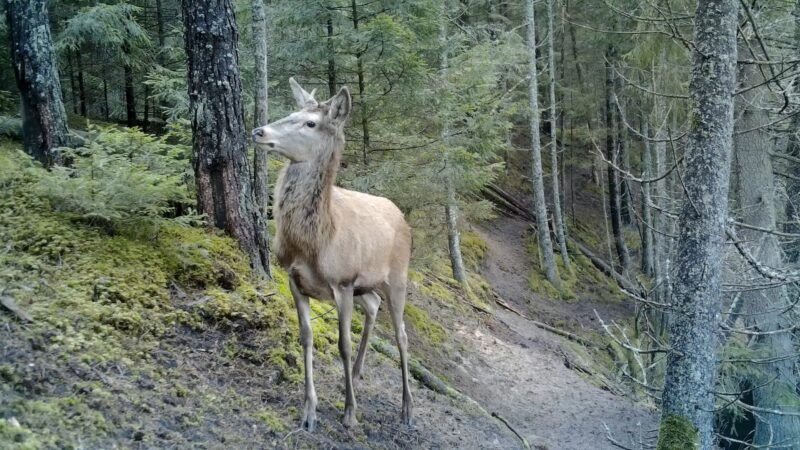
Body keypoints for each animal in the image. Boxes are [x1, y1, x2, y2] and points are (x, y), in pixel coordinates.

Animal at [250, 78, 412, 432]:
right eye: (291, 112)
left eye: (311, 123)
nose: (259, 131)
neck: (316, 243)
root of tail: (402, 216)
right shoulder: (295, 278)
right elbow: (306, 337)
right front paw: (309, 410)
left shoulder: (343, 282)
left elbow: (343, 344)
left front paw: (349, 413)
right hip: (367, 285)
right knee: (374, 305)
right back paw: (355, 377)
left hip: (398, 277)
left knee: (402, 334)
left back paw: (407, 408)